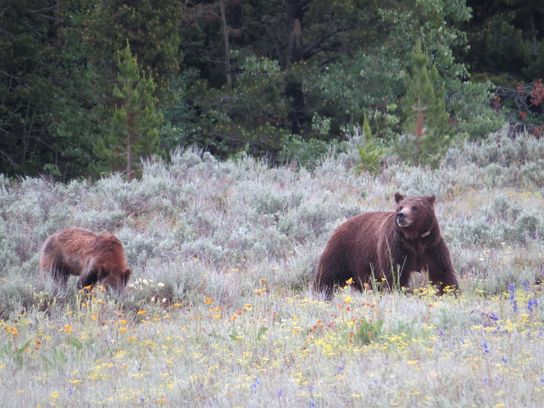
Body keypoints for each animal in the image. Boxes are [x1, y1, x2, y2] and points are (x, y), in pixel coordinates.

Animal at [314, 193, 460, 298]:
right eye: (400, 207)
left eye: (415, 207)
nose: (401, 215)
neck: (413, 239)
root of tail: (341, 224)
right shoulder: (395, 247)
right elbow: (393, 273)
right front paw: (399, 291)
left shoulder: (431, 246)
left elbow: (442, 271)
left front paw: (451, 292)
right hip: (343, 252)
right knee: (327, 275)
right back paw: (321, 293)